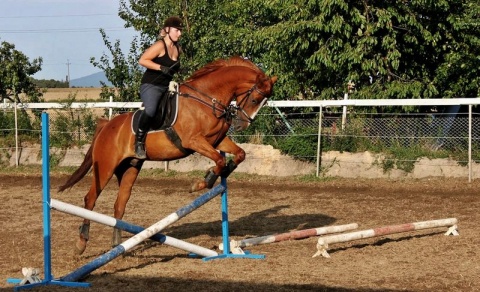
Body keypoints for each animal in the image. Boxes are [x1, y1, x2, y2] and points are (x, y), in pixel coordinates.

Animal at [57, 56, 278, 254]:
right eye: (255, 99)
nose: (242, 125)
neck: (207, 99)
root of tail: (106, 126)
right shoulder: (193, 141)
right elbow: (219, 159)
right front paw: (202, 182)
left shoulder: (217, 140)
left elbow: (239, 154)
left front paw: (218, 174)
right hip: (105, 167)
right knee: (90, 199)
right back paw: (81, 243)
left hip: (129, 168)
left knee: (119, 204)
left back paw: (117, 246)